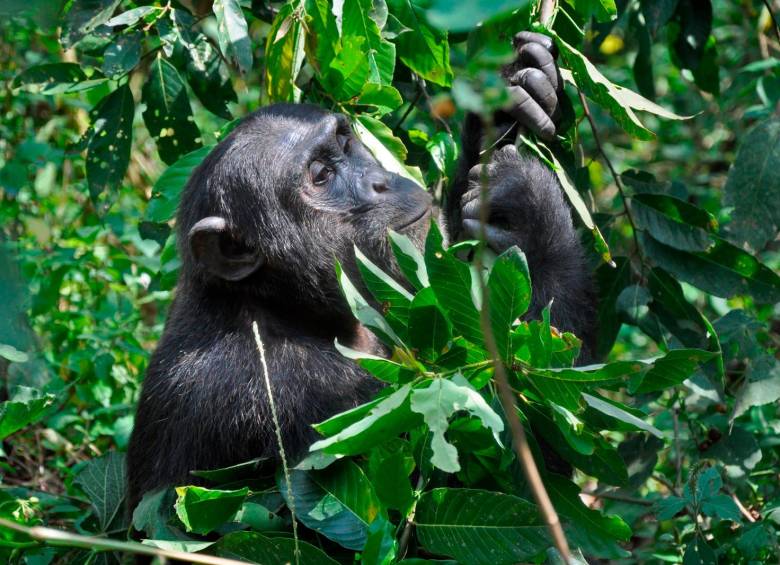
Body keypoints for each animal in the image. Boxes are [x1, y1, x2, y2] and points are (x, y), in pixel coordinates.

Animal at [128, 33, 596, 512]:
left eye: (346, 142)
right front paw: (531, 208)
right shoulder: (296, 398)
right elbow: (515, 467)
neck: (276, 305)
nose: (380, 182)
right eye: (320, 174)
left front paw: (512, 93)